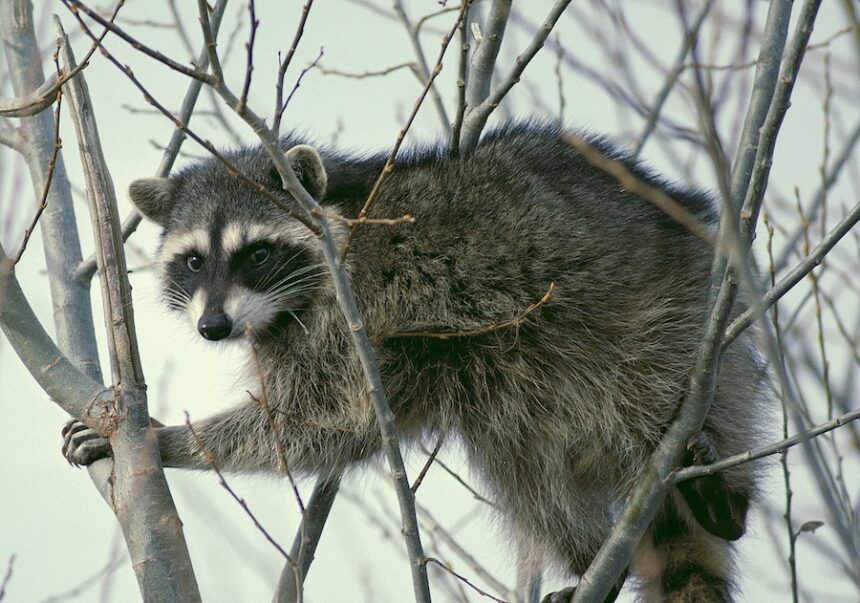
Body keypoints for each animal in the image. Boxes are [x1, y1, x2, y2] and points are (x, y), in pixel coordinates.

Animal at [64, 124, 770, 602]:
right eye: (192, 261)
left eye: (256, 254)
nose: (214, 327)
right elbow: (324, 427)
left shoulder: (354, 316)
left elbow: (318, 418)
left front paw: (167, 439)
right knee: (521, 465)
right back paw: (593, 557)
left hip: (669, 321)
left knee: (646, 394)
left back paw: (724, 499)